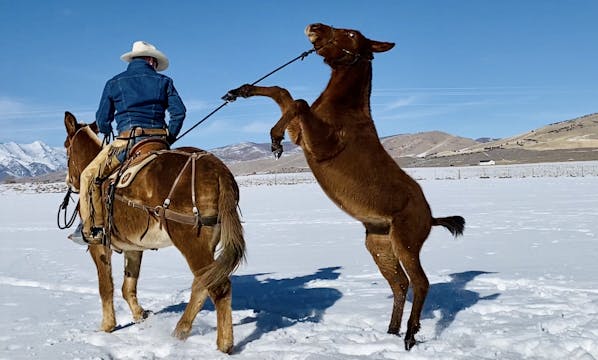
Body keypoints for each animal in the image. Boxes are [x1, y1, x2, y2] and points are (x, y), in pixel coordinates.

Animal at [62, 111, 246, 352]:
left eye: (66, 148)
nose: (69, 180)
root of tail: (218, 170)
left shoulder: (99, 245)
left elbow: (106, 286)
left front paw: (107, 326)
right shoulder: (133, 247)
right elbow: (128, 286)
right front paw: (140, 315)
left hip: (190, 240)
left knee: (218, 286)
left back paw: (224, 344)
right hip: (207, 241)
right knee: (203, 283)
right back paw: (180, 331)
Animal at [227, 23, 466, 352]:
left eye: (352, 34)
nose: (314, 27)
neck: (341, 109)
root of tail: (430, 217)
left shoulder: (321, 145)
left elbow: (298, 102)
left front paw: (274, 139)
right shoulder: (301, 134)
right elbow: (283, 93)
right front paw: (242, 90)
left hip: (406, 243)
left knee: (421, 283)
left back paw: (410, 334)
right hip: (379, 245)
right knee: (401, 284)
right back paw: (392, 330)